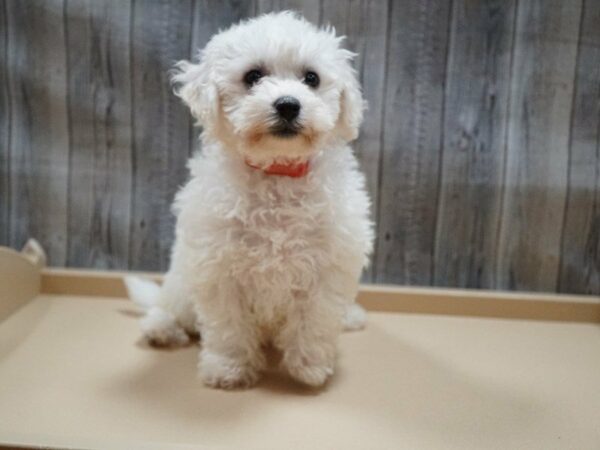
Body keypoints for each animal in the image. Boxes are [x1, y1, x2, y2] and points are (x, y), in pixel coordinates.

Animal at [125, 11, 372, 390]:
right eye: (253, 76)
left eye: (311, 78)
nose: (288, 104)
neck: (278, 172)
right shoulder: (219, 266)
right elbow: (229, 327)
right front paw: (228, 369)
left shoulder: (330, 265)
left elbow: (316, 318)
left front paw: (309, 365)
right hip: (182, 279)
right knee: (169, 306)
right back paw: (161, 328)